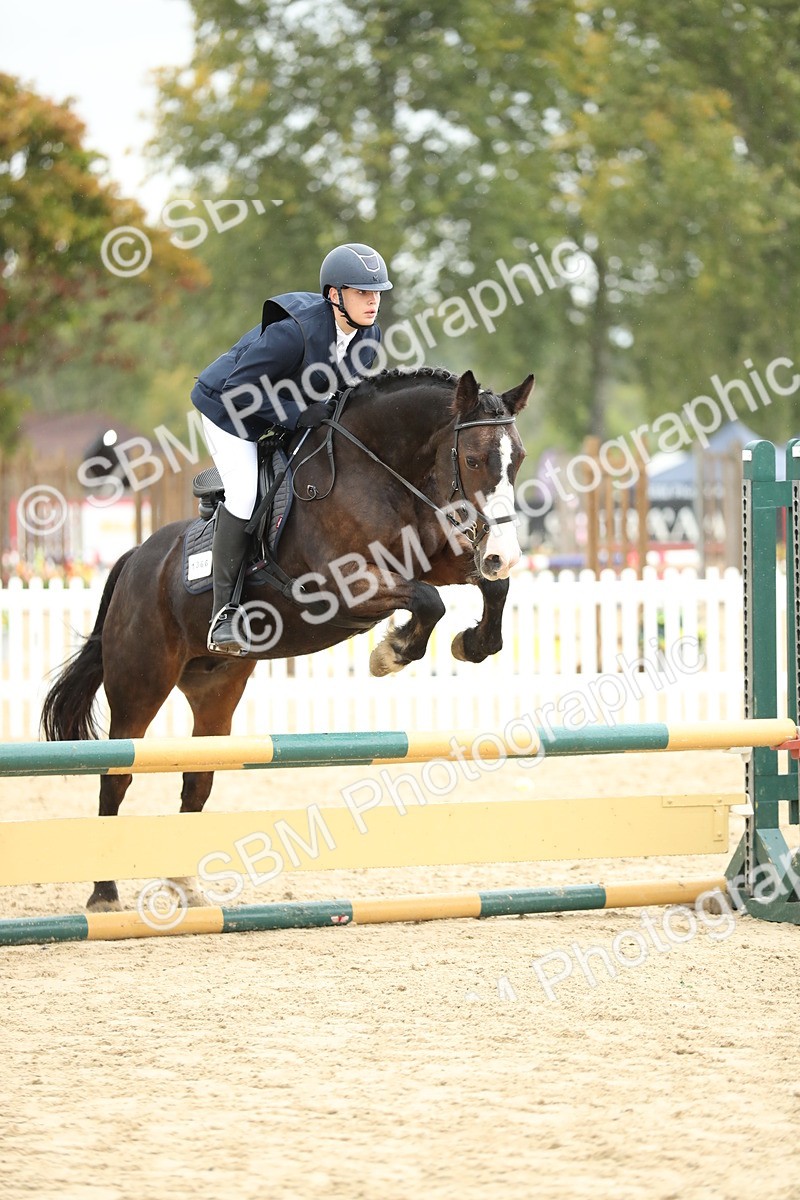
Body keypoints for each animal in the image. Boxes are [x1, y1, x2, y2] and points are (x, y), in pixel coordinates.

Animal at [41, 366, 533, 909]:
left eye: (518, 459)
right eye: (473, 459)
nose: (505, 553)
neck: (382, 470)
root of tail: (134, 559)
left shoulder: (436, 560)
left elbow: (489, 587)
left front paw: (471, 643)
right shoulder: (342, 587)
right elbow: (429, 601)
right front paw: (391, 653)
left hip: (216, 689)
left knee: (196, 779)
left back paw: (187, 889)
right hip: (139, 685)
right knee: (117, 775)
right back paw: (104, 894)